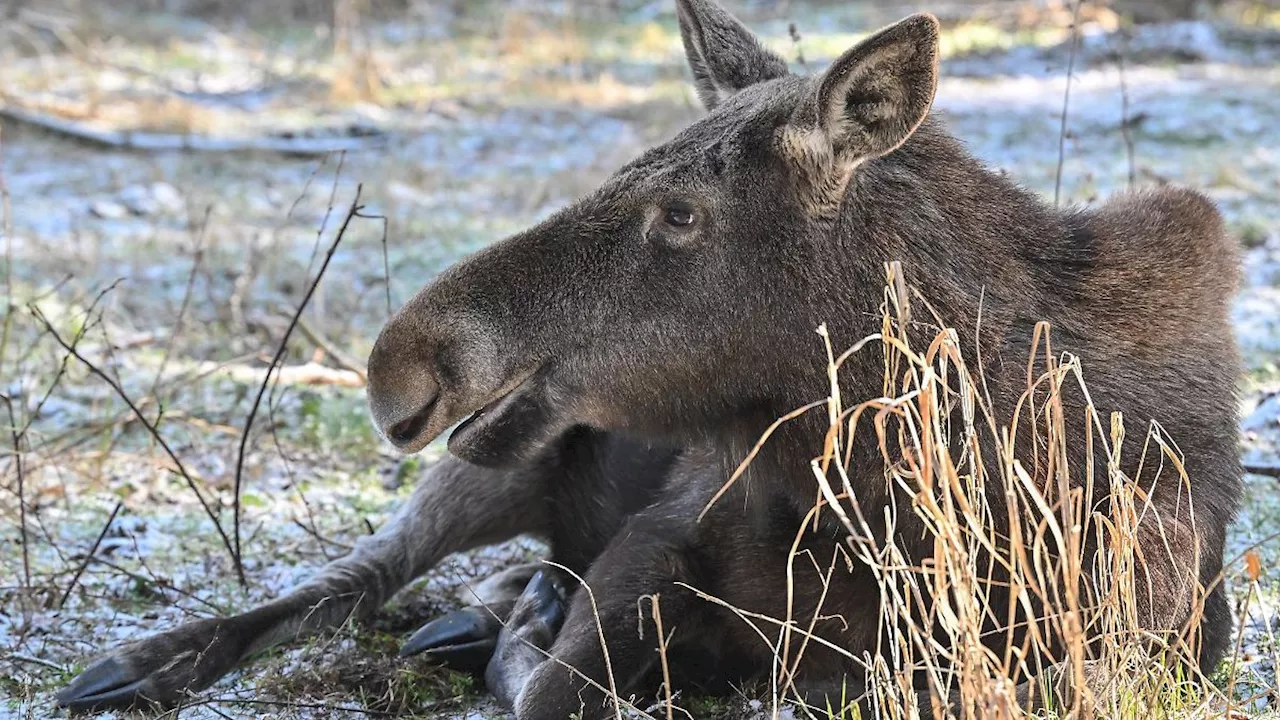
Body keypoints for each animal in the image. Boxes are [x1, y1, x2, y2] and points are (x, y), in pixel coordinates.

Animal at [60, 2, 1239, 712]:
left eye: (679, 212)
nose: (400, 363)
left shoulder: (1149, 640)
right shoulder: (653, 544)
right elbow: (548, 685)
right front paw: (524, 631)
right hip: (493, 469)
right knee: (352, 575)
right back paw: (139, 664)